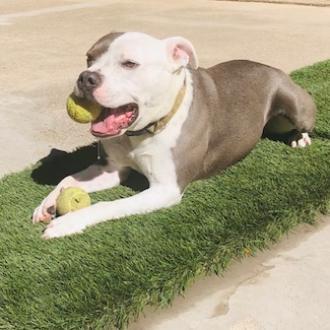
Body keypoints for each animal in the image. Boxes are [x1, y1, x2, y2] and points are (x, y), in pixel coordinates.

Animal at [32, 31, 316, 238]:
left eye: (129, 64)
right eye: (89, 58)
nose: (86, 77)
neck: (142, 131)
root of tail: (270, 67)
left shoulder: (166, 188)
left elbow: (109, 204)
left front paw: (68, 223)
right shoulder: (111, 169)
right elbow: (67, 179)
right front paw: (47, 204)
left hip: (294, 104)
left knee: (303, 123)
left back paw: (299, 138)